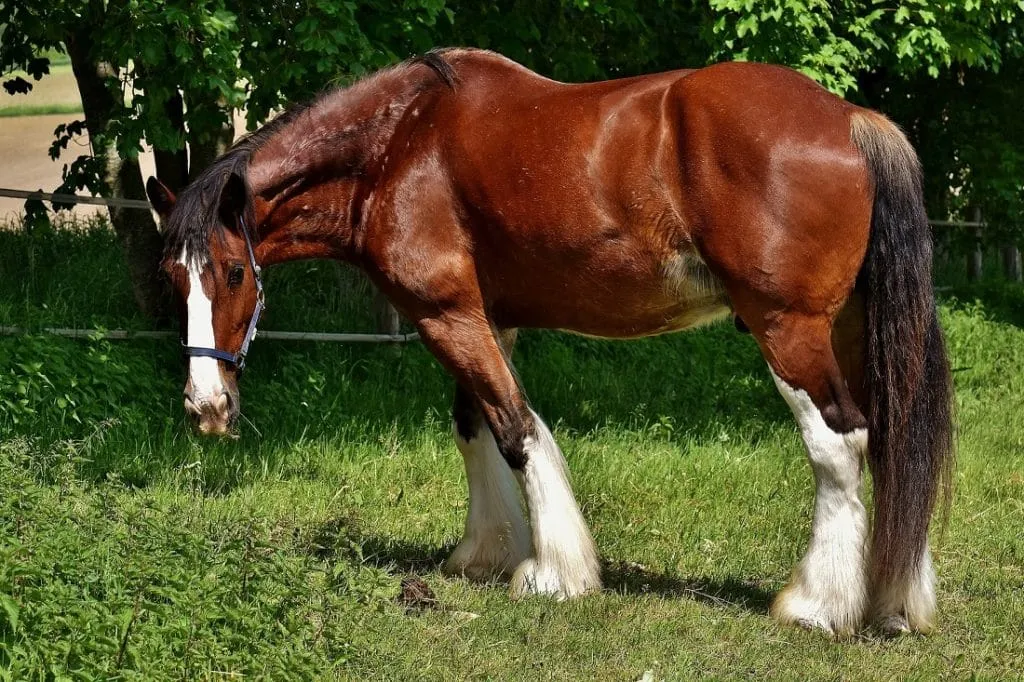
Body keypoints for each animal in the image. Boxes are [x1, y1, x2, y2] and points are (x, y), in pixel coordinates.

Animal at [146, 48, 953, 637]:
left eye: (231, 273)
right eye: (172, 277)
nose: (206, 407)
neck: (397, 145)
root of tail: (850, 118)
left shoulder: (446, 314)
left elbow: (514, 429)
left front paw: (554, 573)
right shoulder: (480, 317)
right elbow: (473, 425)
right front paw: (484, 551)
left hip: (787, 330)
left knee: (839, 446)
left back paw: (818, 605)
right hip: (851, 331)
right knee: (889, 443)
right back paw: (893, 602)